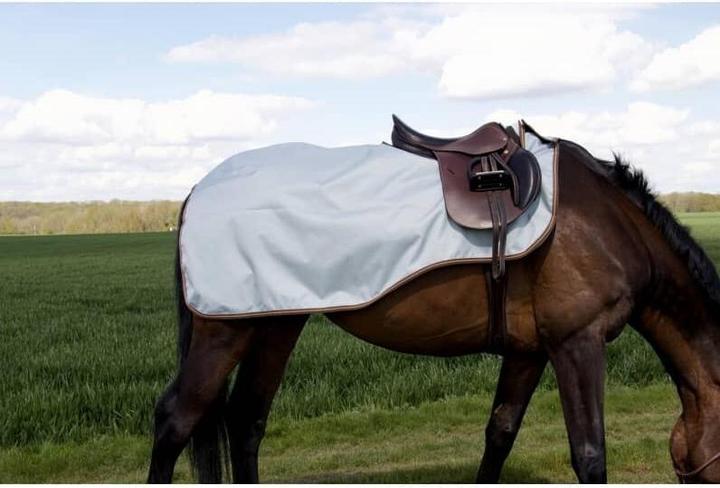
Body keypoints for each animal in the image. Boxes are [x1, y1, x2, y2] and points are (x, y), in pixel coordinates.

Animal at [147, 130, 720, 483]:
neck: (610, 224)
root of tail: (197, 190)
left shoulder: (530, 351)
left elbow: (499, 435)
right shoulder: (578, 343)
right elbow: (590, 456)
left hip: (274, 324)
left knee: (246, 420)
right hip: (224, 330)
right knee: (176, 419)